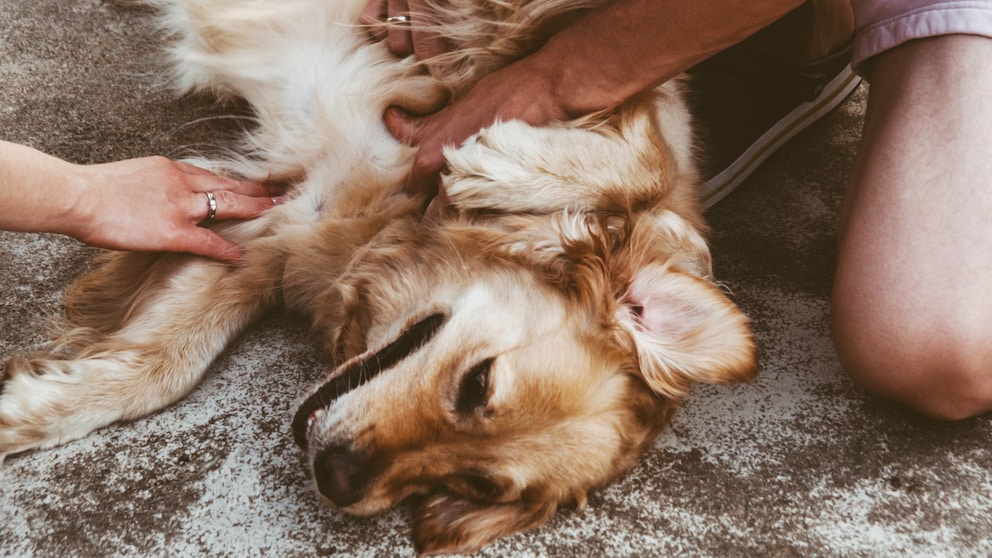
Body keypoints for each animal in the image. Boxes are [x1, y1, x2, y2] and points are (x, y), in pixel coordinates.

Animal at [1, 0, 760, 556]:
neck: (400, 223)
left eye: (475, 486)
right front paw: (507, 161)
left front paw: (35, 408)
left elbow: (164, 365)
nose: (338, 479)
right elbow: (651, 161)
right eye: (479, 383)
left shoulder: (260, 228)